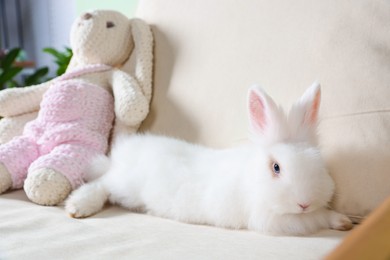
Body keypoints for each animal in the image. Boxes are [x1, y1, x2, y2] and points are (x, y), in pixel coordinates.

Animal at [65, 83, 352, 236]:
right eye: (276, 167)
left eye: (319, 164)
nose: (304, 202)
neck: (252, 179)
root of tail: (121, 157)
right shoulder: (272, 221)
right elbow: (313, 220)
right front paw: (339, 221)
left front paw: (343, 220)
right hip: (125, 185)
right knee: (102, 183)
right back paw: (77, 207)